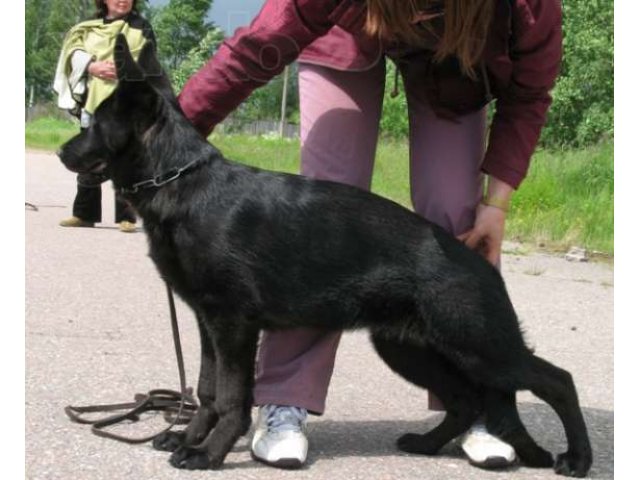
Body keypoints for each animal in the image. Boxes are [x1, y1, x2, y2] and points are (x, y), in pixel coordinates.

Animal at [57, 36, 592, 476]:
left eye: (93, 124)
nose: (62, 152)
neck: (182, 180)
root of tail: (477, 260)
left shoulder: (232, 326)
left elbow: (231, 396)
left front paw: (209, 453)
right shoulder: (209, 326)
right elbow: (208, 391)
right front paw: (188, 439)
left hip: (479, 346)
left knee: (556, 381)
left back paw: (578, 459)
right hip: (411, 349)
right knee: (464, 401)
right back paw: (426, 443)